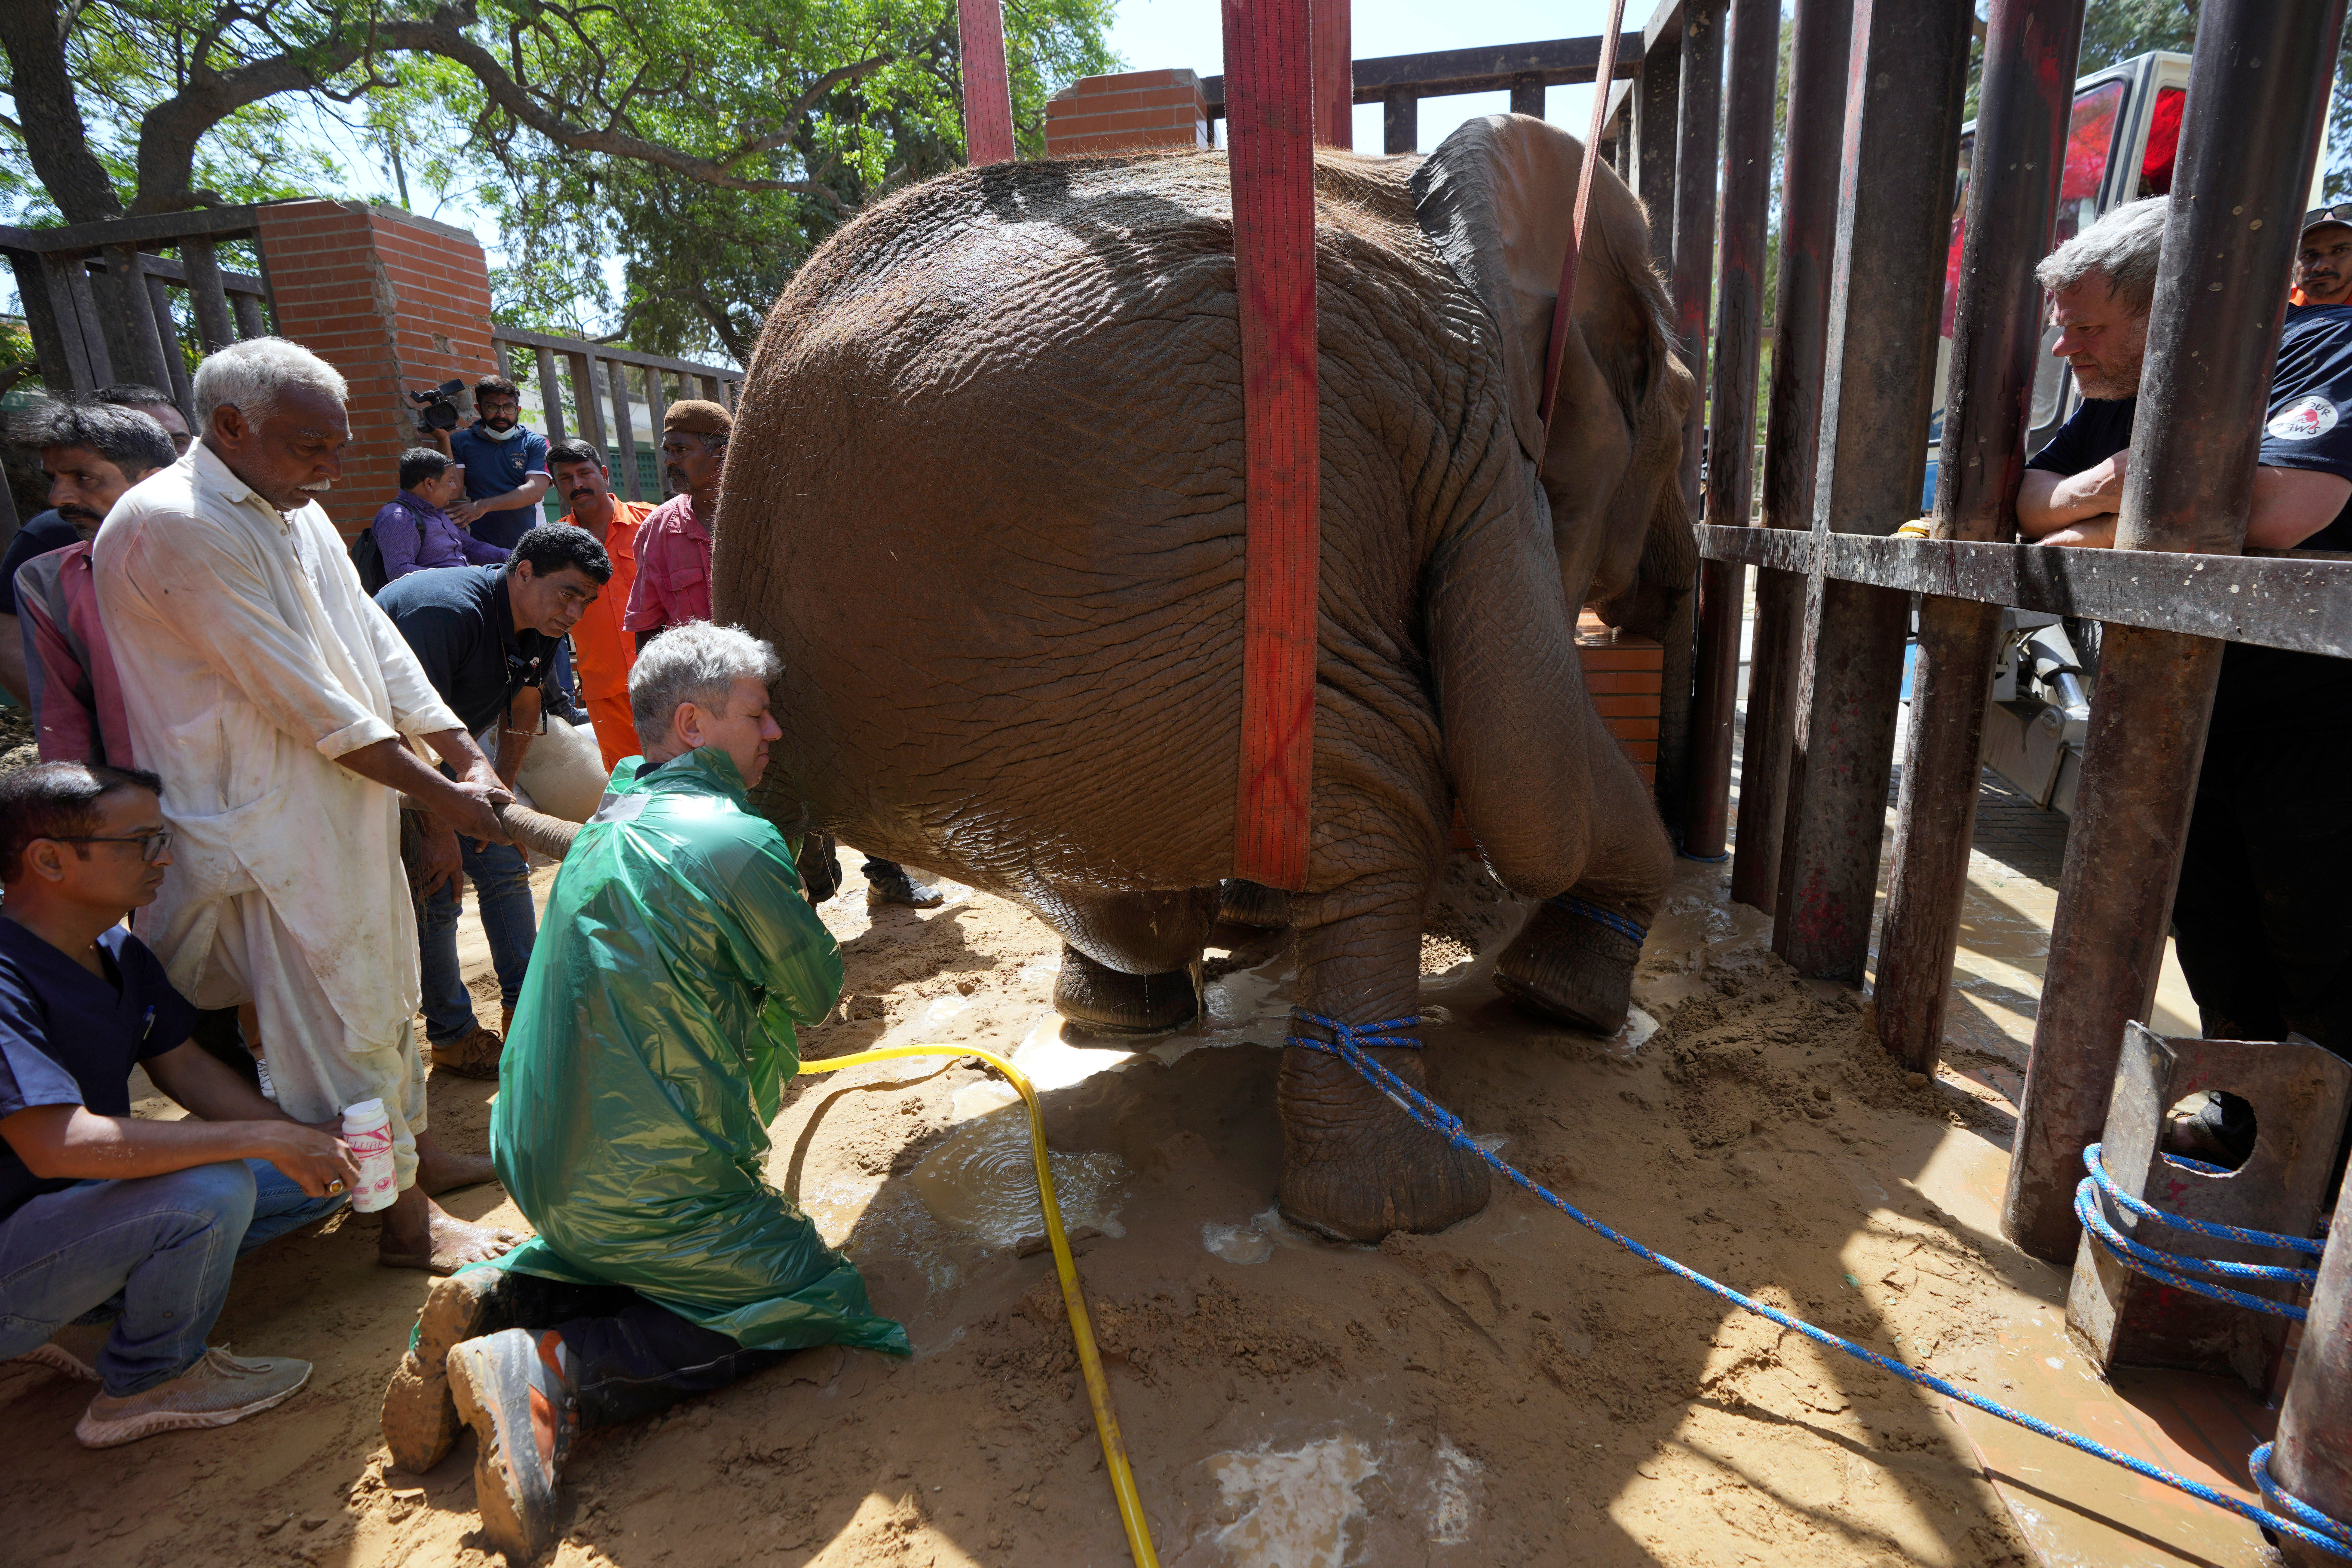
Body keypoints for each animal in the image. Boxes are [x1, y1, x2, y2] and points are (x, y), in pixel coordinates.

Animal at [714, 113, 1695, 1242]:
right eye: (1683, 412)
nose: (1658, 600)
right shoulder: (1483, 435)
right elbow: (1533, 789)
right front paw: (1562, 1009)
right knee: (1386, 812)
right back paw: (1406, 1206)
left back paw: (1126, 1014)